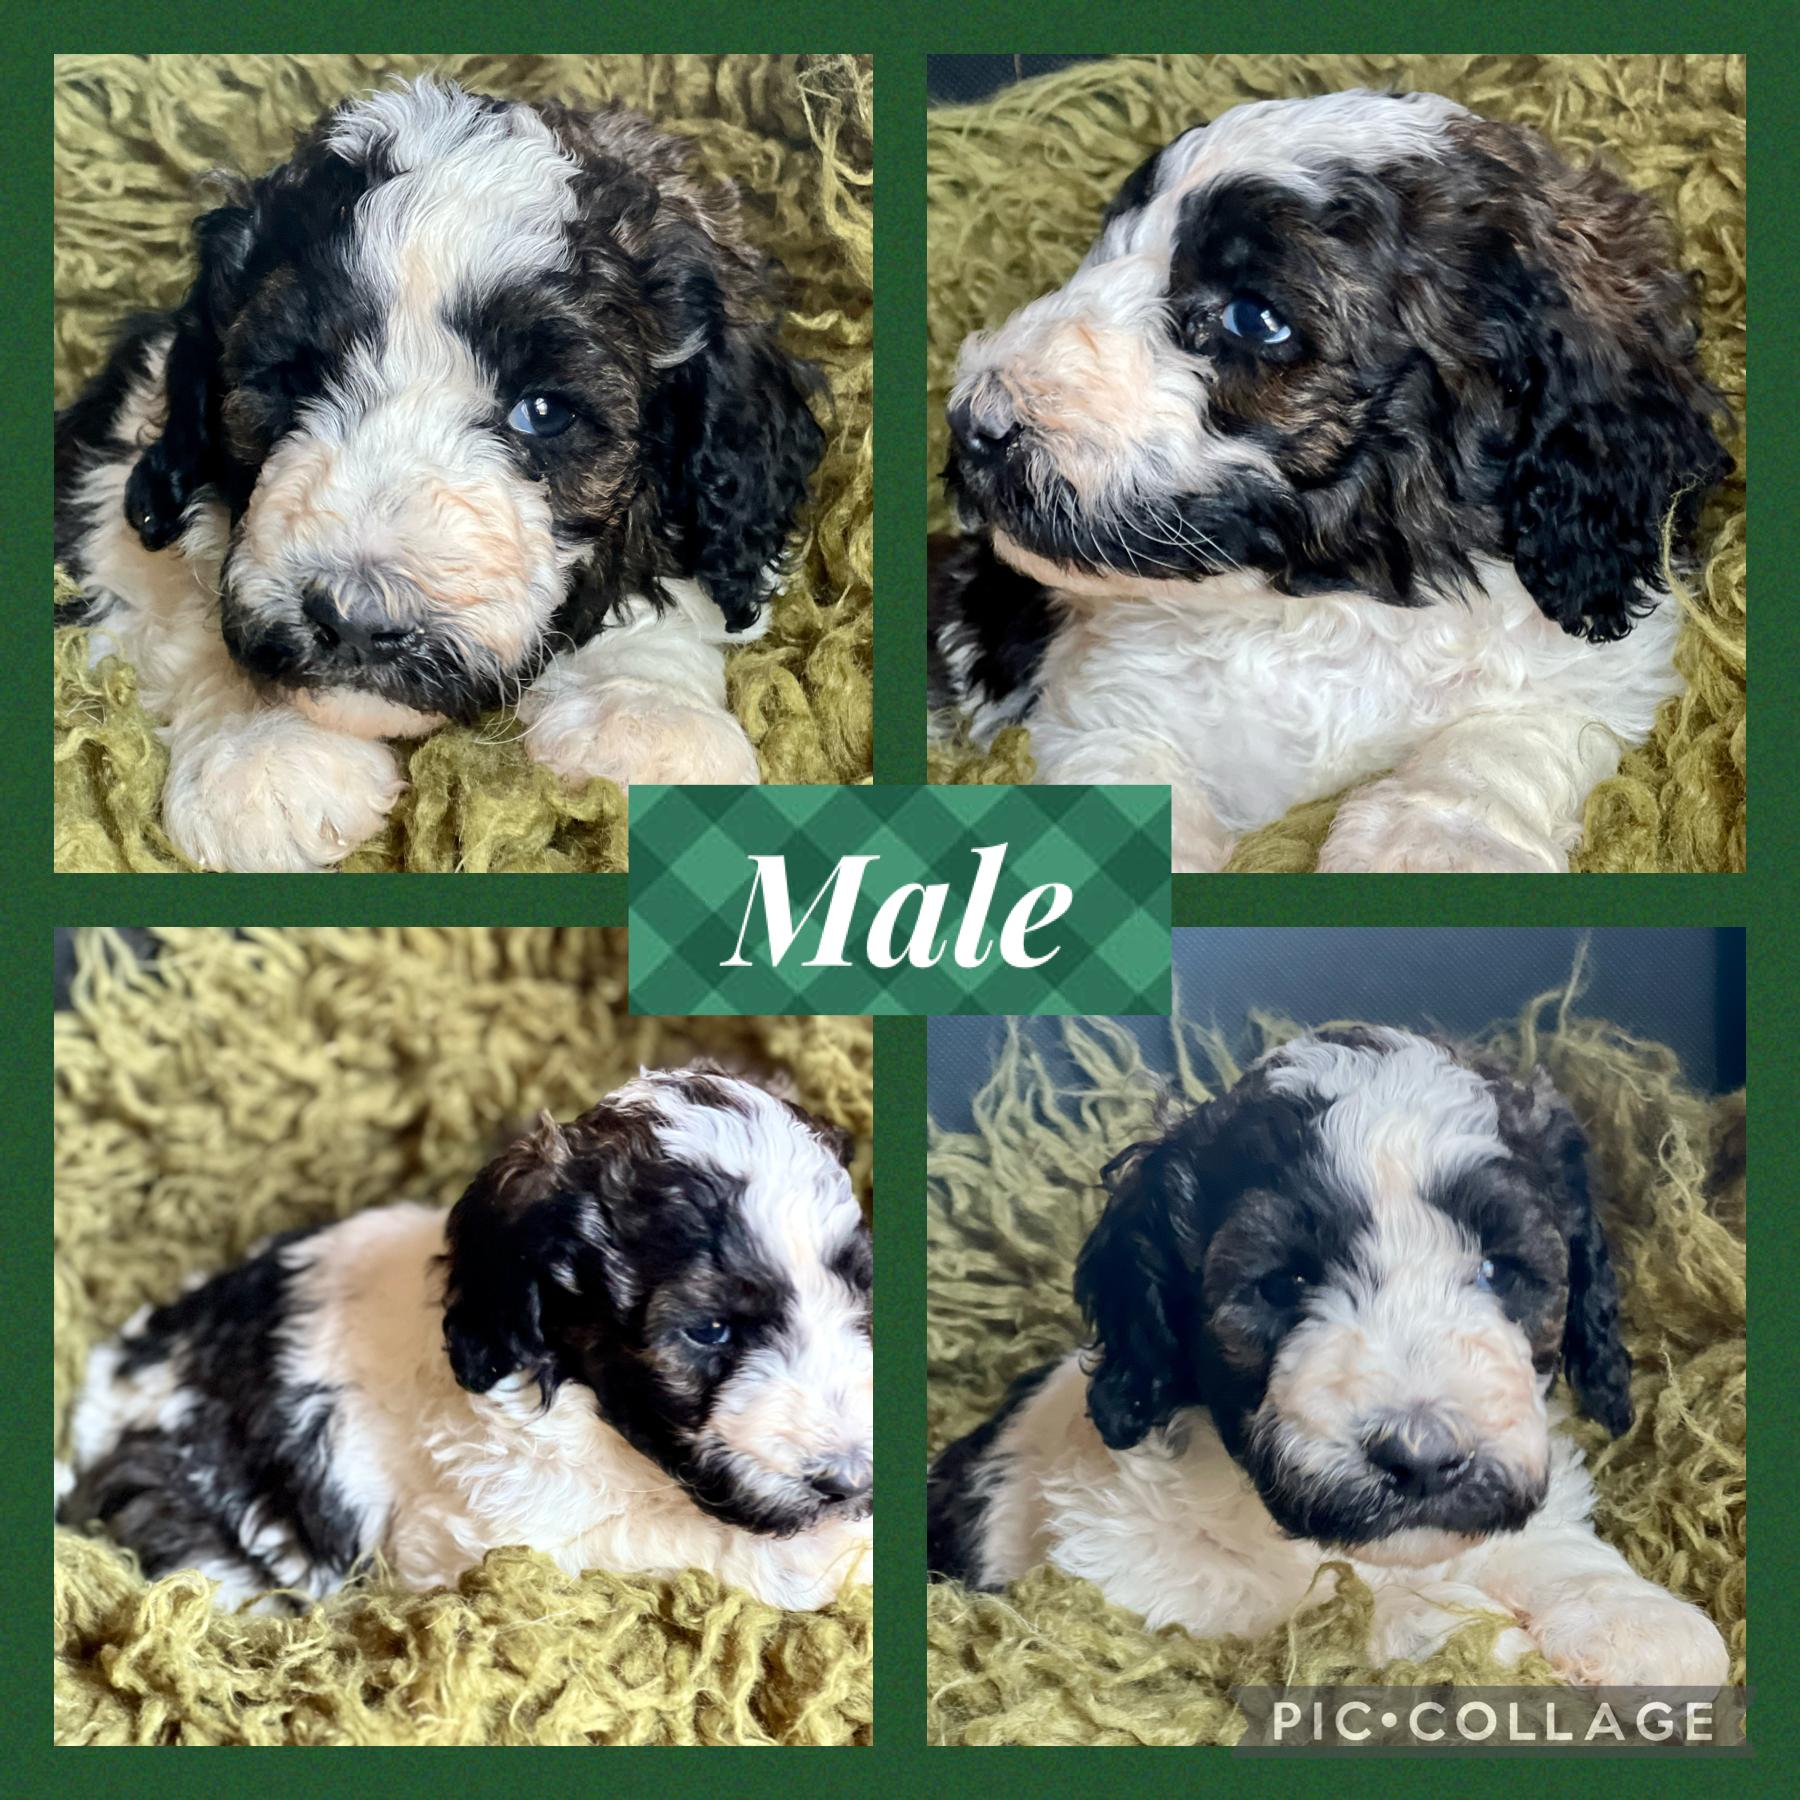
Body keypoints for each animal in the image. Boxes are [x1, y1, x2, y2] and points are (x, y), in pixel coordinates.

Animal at [55, 76, 824, 870]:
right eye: (294, 378)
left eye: (543, 411)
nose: (356, 620)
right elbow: (174, 594)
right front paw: (262, 748)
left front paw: (644, 713)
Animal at [58, 1068, 872, 1611]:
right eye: (710, 1329)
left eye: (857, 1294)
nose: (850, 1482)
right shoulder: (498, 1540)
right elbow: (689, 1549)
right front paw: (839, 1557)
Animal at [927, 1028, 1729, 1687]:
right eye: (1285, 1284)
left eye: (1498, 1270)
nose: (1422, 1458)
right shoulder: (1123, 1570)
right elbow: (1315, 1604)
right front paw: (1466, 1637)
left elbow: (1549, 1543)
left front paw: (1636, 1619)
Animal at [929, 89, 1731, 872]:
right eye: (1109, 247)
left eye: (1254, 319)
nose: (972, 423)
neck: (1331, 610)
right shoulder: (1107, 712)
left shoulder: (1600, 669)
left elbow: (1499, 743)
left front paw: (1431, 844)